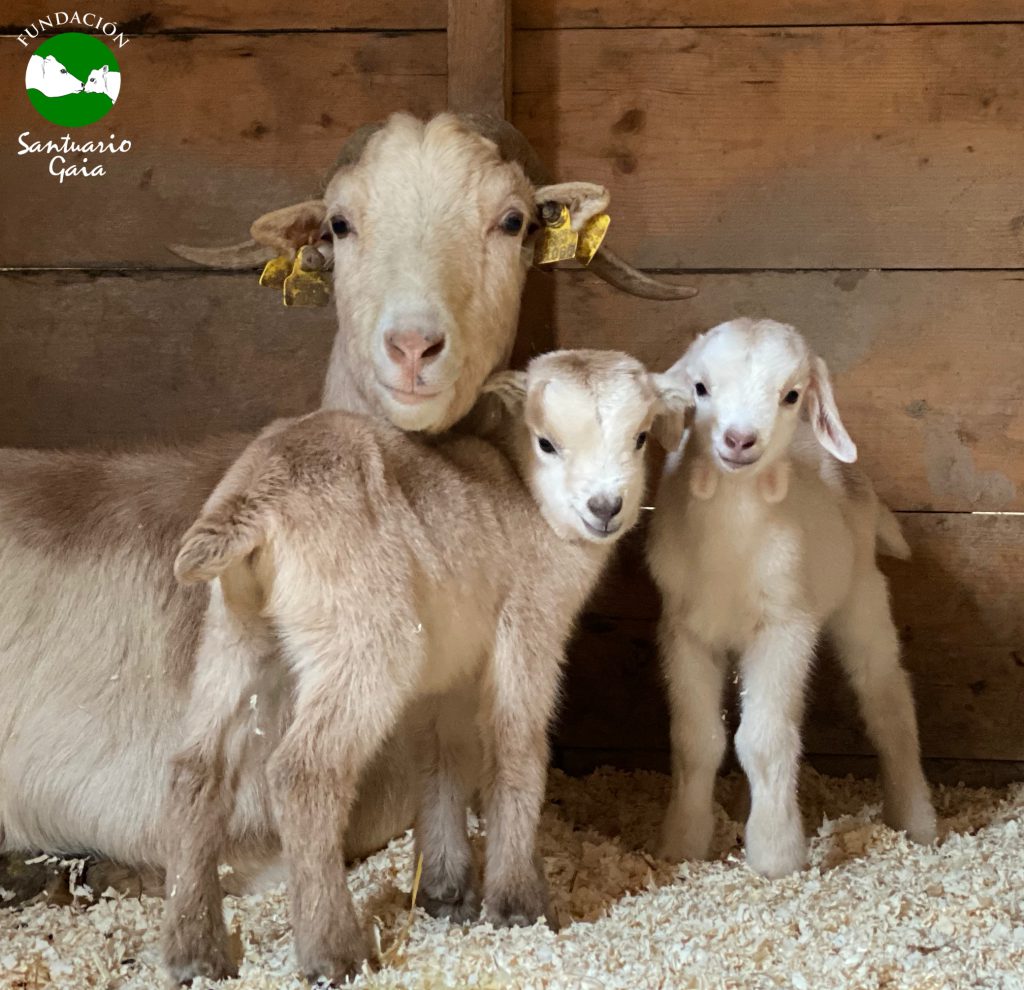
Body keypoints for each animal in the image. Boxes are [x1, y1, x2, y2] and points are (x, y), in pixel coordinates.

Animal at [161, 348, 688, 982]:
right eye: (546, 442)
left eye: (640, 437)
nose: (605, 508)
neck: (526, 502)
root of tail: (260, 494)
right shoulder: (529, 621)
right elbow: (516, 747)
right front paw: (518, 902)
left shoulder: (450, 670)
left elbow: (441, 759)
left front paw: (446, 889)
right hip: (369, 635)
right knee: (303, 771)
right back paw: (333, 949)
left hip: (237, 631)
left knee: (195, 769)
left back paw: (195, 951)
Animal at [647, 315, 937, 876]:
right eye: (700, 388)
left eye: (791, 394)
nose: (739, 439)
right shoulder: (683, 629)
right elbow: (696, 739)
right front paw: (683, 842)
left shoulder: (786, 627)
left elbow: (763, 739)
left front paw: (775, 852)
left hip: (861, 599)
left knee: (888, 702)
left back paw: (917, 821)